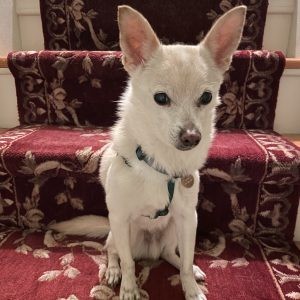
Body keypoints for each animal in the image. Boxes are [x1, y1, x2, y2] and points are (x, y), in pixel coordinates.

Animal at [49, 5, 246, 300]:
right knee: (114, 252)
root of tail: (150, 250)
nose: (192, 136)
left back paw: (189, 269)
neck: (161, 162)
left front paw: (191, 288)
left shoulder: (188, 217)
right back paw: (112, 271)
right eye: (161, 98)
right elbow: (129, 264)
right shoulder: (120, 218)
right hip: (120, 232)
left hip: (175, 229)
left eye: (206, 98)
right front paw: (129, 289)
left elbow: (186, 261)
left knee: (171, 254)